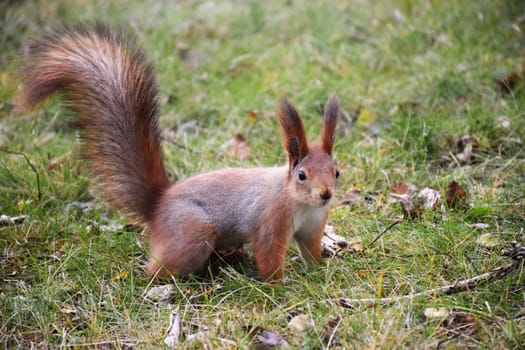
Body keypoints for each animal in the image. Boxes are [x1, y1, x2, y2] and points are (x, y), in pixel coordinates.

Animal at [16, 23, 340, 282]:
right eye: (302, 175)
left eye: (337, 171)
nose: (326, 194)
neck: (299, 202)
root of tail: (158, 206)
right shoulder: (270, 221)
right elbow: (269, 256)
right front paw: (280, 286)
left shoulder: (313, 226)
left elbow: (311, 250)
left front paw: (318, 272)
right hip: (193, 233)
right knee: (158, 268)